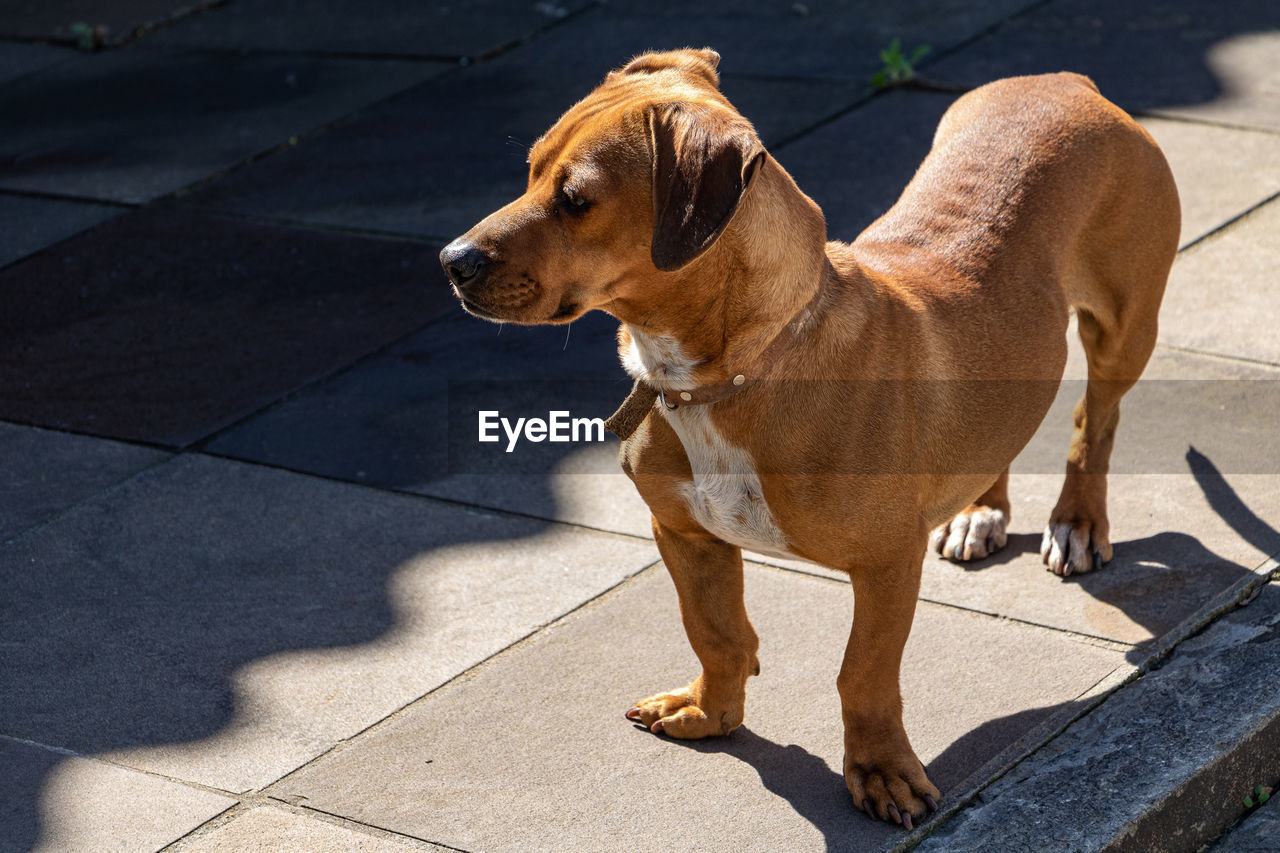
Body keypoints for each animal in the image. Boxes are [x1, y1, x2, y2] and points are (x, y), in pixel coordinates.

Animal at [440, 49, 1177, 824]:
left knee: (1095, 422)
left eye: (577, 198)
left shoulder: (886, 565)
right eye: (529, 170)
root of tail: (1066, 82)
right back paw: (979, 509)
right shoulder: (684, 535)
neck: (733, 371)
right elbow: (717, 633)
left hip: (1124, 328)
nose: (451, 261)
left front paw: (880, 770)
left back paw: (1077, 522)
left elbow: (864, 675)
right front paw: (711, 712)